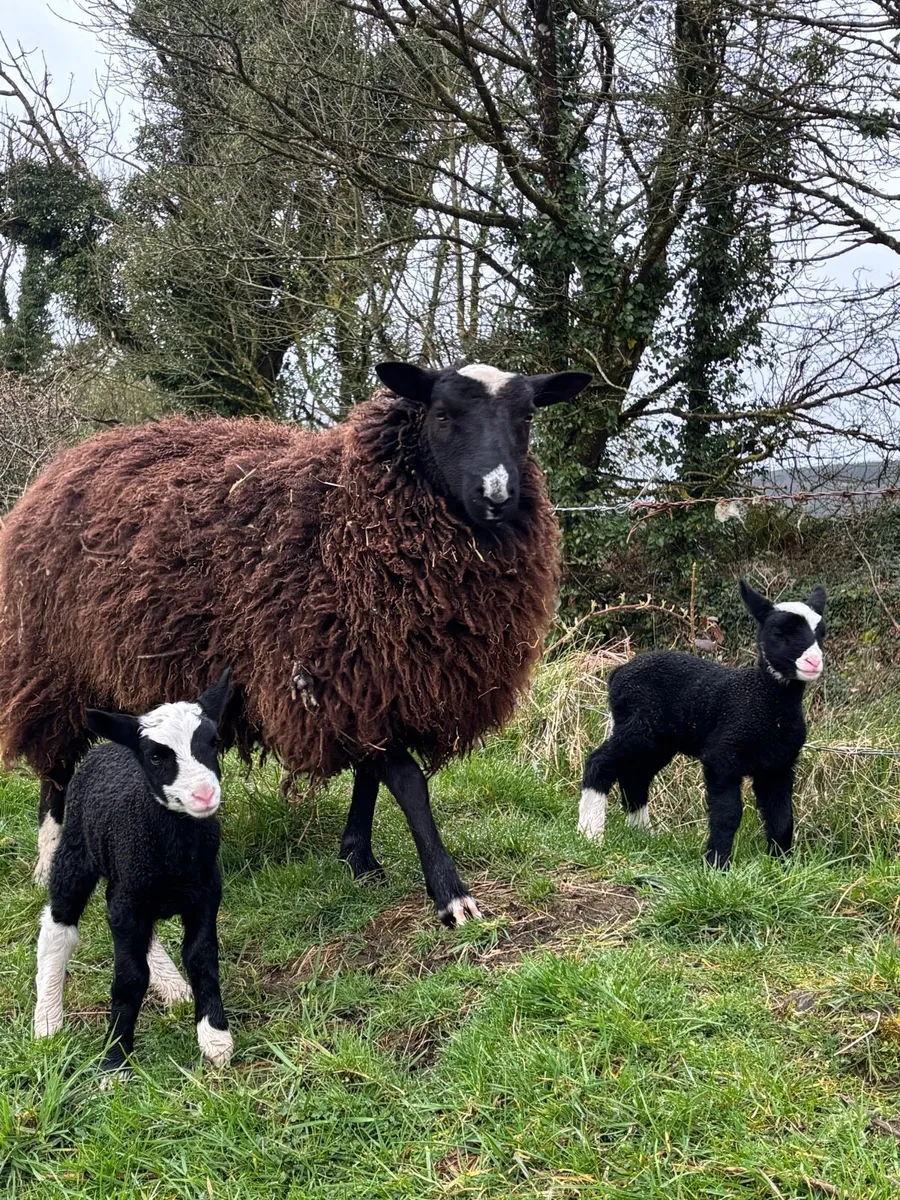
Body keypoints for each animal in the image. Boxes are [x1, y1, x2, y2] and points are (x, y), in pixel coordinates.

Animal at [0, 361, 592, 926]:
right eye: (442, 415)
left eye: (527, 418)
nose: (497, 496)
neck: (349, 514)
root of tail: (70, 459)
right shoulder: (332, 674)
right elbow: (408, 782)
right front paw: (450, 893)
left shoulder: (373, 679)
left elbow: (371, 774)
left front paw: (358, 858)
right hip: (53, 667)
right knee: (54, 767)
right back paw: (48, 860)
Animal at [34, 670, 233, 1078]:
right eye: (157, 756)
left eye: (213, 742)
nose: (204, 795)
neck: (174, 852)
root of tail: (109, 746)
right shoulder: (129, 899)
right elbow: (129, 978)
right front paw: (114, 1061)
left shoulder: (205, 891)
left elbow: (201, 957)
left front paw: (215, 1038)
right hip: (77, 852)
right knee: (59, 926)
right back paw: (47, 1020)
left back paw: (174, 988)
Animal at [579, 580, 826, 867]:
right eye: (779, 632)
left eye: (821, 634)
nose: (814, 662)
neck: (766, 704)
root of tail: (618, 673)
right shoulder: (721, 757)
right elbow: (728, 815)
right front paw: (717, 864)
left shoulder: (778, 765)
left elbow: (782, 818)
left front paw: (781, 866)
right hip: (638, 727)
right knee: (599, 762)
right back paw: (590, 834)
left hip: (658, 741)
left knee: (635, 776)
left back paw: (643, 835)